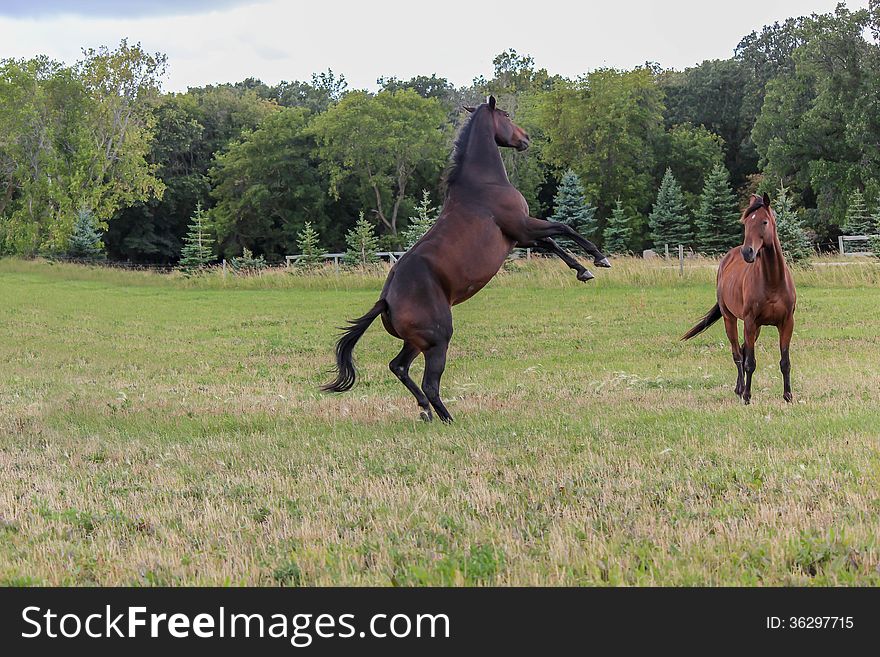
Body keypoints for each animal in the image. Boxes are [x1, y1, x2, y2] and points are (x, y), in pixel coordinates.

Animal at [324, 95, 612, 422]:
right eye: (506, 115)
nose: (526, 138)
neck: (484, 184)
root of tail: (386, 299)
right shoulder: (523, 226)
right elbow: (565, 228)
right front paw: (599, 259)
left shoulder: (521, 236)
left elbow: (553, 242)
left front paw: (582, 270)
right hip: (438, 340)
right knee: (430, 383)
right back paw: (447, 418)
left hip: (416, 342)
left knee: (399, 367)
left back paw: (425, 410)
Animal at [680, 192, 796, 402]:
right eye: (746, 223)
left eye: (764, 222)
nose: (747, 252)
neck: (773, 280)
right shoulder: (749, 321)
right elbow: (750, 362)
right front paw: (747, 396)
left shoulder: (786, 323)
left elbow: (785, 361)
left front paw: (788, 396)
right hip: (731, 319)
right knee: (737, 354)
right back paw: (741, 389)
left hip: (756, 328)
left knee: (742, 350)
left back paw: (738, 388)